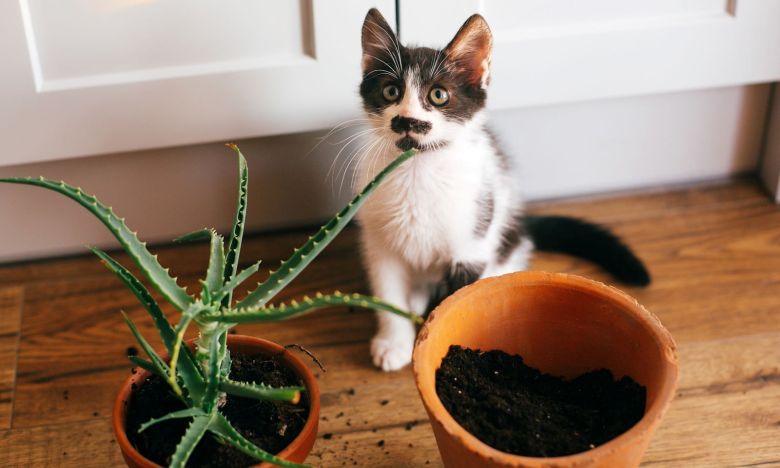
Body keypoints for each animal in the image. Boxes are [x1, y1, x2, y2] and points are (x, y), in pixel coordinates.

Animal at [356, 8, 648, 372]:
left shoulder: (474, 239)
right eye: (391, 91)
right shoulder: (379, 241)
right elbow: (387, 292)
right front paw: (394, 342)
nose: (407, 120)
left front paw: (435, 340)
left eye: (438, 95)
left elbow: (455, 300)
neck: (417, 170)